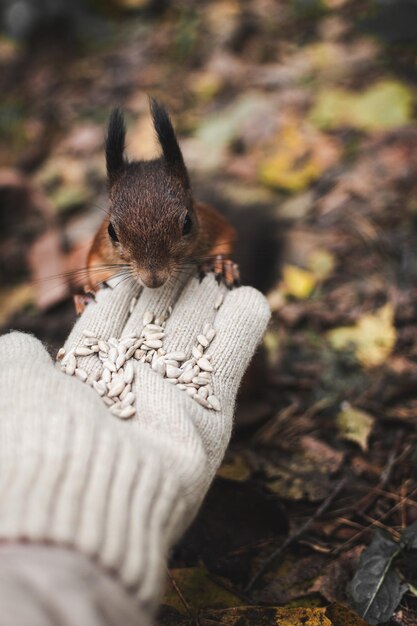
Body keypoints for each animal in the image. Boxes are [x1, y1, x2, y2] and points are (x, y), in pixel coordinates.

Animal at [78, 97, 239, 308]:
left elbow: (227, 235)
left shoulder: (210, 224)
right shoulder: (101, 246)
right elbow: (93, 263)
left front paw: (221, 264)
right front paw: (88, 292)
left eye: (187, 224)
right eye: (111, 231)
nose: (153, 280)